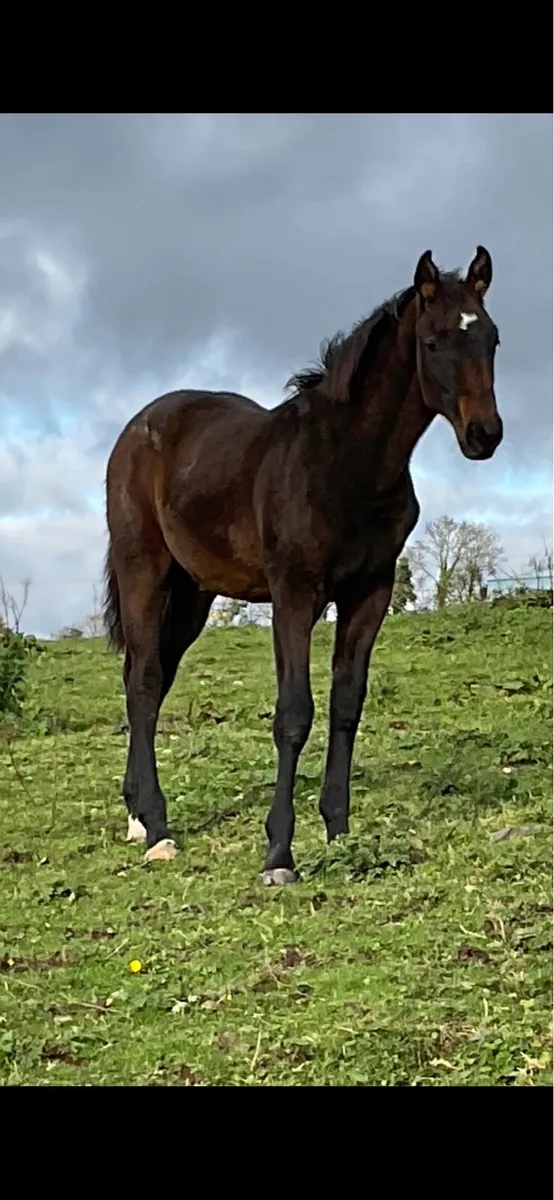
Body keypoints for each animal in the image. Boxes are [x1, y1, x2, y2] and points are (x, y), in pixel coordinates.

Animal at [104, 246, 503, 884]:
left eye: (491, 337)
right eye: (435, 340)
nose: (484, 434)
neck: (345, 463)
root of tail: (137, 430)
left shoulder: (370, 592)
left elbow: (346, 705)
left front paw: (338, 830)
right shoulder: (294, 592)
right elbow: (294, 712)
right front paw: (279, 853)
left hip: (192, 593)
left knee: (151, 677)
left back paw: (135, 812)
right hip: (144, 569)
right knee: (142, 680)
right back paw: (157, 825)